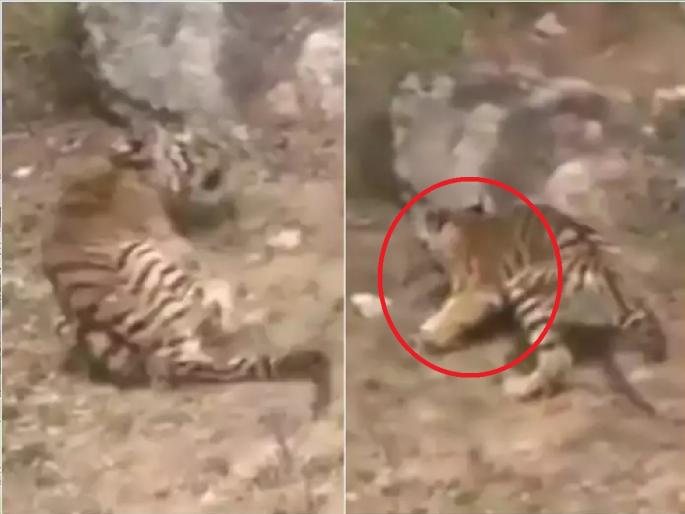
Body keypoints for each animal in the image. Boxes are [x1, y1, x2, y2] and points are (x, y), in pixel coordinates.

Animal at [41, 123, 330, 417]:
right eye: (187, 146)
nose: (223, 149)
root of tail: (160, 356)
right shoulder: (173, 242)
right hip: (152, 266)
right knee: (216, 320)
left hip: (69, 324)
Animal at [411, 202, 667, 414]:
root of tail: (592, 253)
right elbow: (451, 306)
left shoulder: (483, 288)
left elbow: (456, 310)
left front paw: (431, 335)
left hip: (528, 294)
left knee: (557, 359)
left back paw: (520, 388)